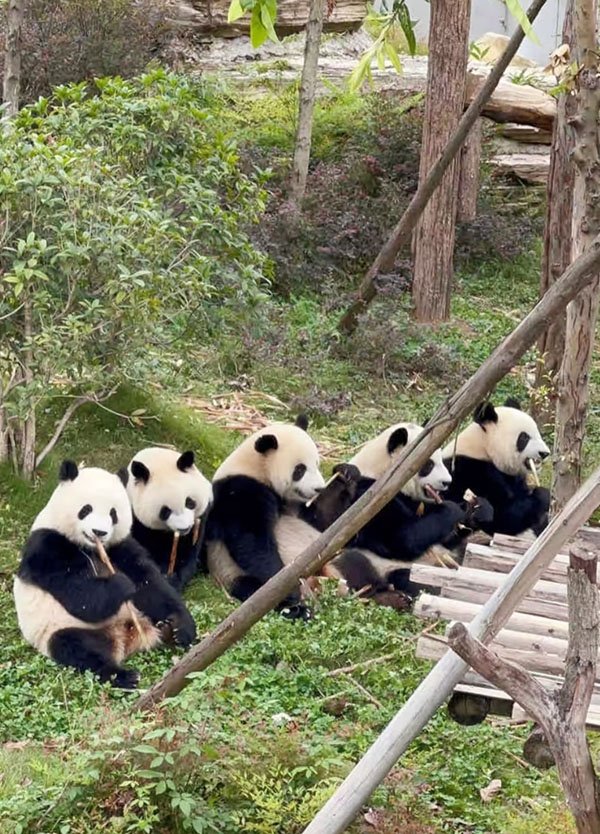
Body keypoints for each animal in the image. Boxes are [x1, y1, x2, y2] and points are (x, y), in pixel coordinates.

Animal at [13, 461, 197, 689]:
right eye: (86, 509)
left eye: (113, 514)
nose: (99, 532)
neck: (91, 547)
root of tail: (124, 637)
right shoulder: (46, 548)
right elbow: (78, 594)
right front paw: (121, 584)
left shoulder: (119, 545)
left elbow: (150, 582)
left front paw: (182, 626)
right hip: (59, 629)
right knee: (78, 649)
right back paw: (124, 675)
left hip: (140, 614)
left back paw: (168, 630)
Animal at [119, 448, 213, 591]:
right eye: (165, 511)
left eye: (189, 502)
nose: (184, 528)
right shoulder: (136, 521)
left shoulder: (200, 521)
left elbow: (187, 556)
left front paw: (173, 579)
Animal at [204, 415, 325, 620]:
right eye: (300, 469)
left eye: (317, 464)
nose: (319, 489)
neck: (257, 468)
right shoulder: (241, 492)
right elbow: (253, 542)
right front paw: (289, 590)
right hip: (229, 571)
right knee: (252, 589)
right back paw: (298, 609)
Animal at [320, 423, 493, 603]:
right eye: (429, 465)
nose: (447, 482)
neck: (382, 471)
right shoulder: (368, 498)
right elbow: (402, 538)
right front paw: (453, 509)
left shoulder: (415, 502)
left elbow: (444, 537)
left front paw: (477, 509)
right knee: (366, 569)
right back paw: (396, 596)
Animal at [442, 399, 551, 537]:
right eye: (524, 437)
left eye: (539, 434)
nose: (545, 453)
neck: (484, 447)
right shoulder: (469, 470)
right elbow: (503, 519)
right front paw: (542, 495)